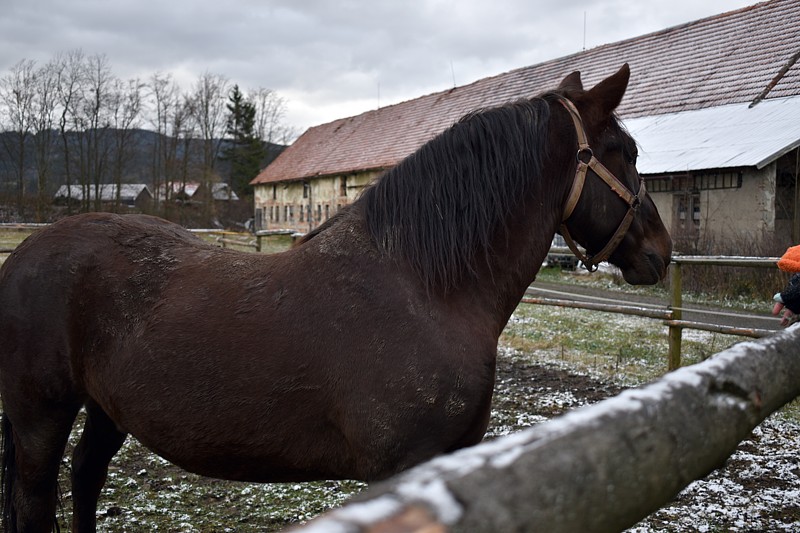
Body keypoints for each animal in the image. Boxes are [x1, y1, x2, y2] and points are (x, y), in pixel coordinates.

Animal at [0, 64, 672, 528]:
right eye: (626, 153)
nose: (661, 252)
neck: (423, 287)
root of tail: (24, 256)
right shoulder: (403, 468)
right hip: (39, 417)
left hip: (107, 409)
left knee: (86, 481)